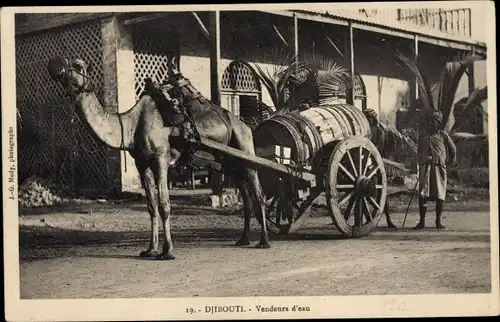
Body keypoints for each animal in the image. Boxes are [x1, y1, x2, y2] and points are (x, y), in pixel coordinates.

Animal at [47, 57, 270, 260]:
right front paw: (150, 250)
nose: (55, 65)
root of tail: (244, 125)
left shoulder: (160, 159)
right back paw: (243, 239)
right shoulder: (141, 163)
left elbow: (164, 204)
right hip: (230, 163)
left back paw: (264, 241)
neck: (131, 125)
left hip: (245, 147)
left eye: (78, 65)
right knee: (246, 195)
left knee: (258, 193)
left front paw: (167, 251)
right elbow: (151, 206)